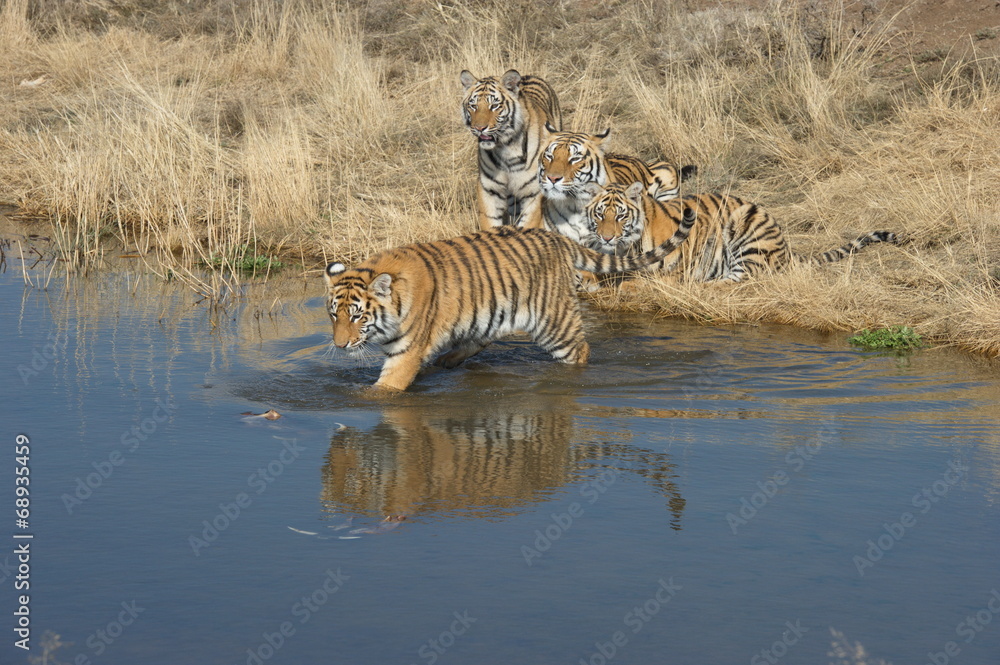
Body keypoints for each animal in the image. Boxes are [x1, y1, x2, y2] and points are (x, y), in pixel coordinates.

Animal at [323, 215, 695, 392]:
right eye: (333, 316)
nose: (340, 345)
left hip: (554, 323)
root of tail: (557, 238)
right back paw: (446, 361)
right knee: (481, 339)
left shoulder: (405, 352)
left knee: (580, 351)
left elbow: (385, 388)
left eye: (357, 317)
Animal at [460, 69, 562, 230]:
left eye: (494, 106)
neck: (506, 148)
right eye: (473, 106)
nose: (479, 128)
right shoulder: (489, 189)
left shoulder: (533, 193)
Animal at [583, 181, 898, 283]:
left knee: (737, 280)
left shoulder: (673, 268)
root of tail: (786, 247)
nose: (607, 237)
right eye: (600, 214)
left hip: (748, 236)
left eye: (620, 215)